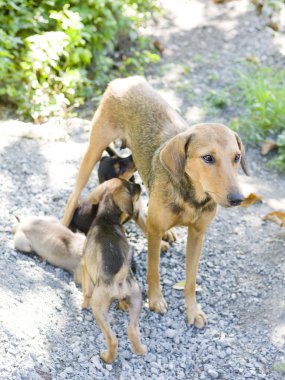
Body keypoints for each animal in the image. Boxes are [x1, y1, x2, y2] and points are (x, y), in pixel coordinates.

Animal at [61, 75, 247, 328]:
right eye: (208, 158)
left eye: (237, 157)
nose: (238, 199)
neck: (191, 196)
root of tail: (124, 80)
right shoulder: (155, 231)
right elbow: (153, 270)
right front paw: (156, 300)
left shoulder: (197, 234)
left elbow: (191, 279)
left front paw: (192, 310)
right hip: (94, 148)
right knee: (73, 196)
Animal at [80, 177, 146, 362]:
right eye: (132, 187)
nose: (140, 184)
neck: (106, 218)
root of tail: (119, 278)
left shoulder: (84, 266)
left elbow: (86, 292)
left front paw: (82, 305)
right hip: (136, 299)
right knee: (132, 331)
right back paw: (140, 350)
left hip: (99, 308)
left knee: (113, 339)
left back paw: (107, 357)